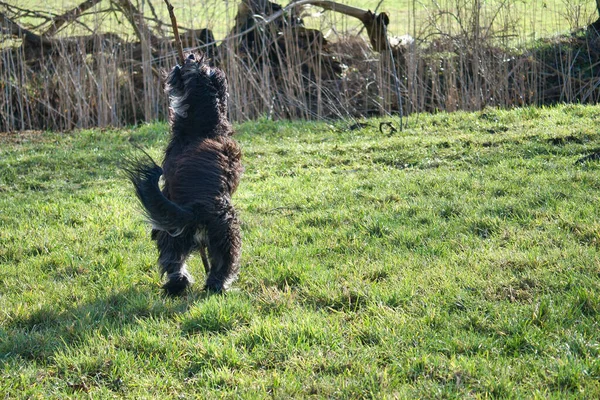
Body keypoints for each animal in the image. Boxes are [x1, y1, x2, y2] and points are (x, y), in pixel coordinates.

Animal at [125, 54, 243, 294]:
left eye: (199, 66)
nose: (190, 56)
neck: (203, 127)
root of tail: (195, 210)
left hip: (184, 234)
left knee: (177, 259)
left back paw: (197, 285)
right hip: (216, 234)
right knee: (199, 262)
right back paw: (201, 285)